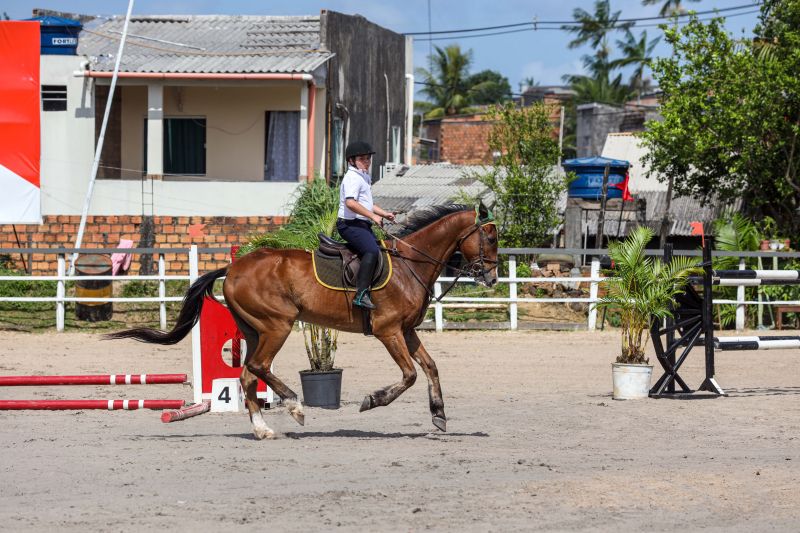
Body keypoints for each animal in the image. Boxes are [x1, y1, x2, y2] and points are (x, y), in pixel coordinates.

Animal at [106, 203, 494, 436]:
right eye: (489, 237)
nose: (490, 278)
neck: (409, 266)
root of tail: (234, 267)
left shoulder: (407, 331)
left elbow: (430, 368)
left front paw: (439, 417)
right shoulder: (388, 331)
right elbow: (410, 374)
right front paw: (372, 401)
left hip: (255, 329)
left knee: (248, 375)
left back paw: (262, 428)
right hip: (278, 325)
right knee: (259, 367)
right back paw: (294, 406)